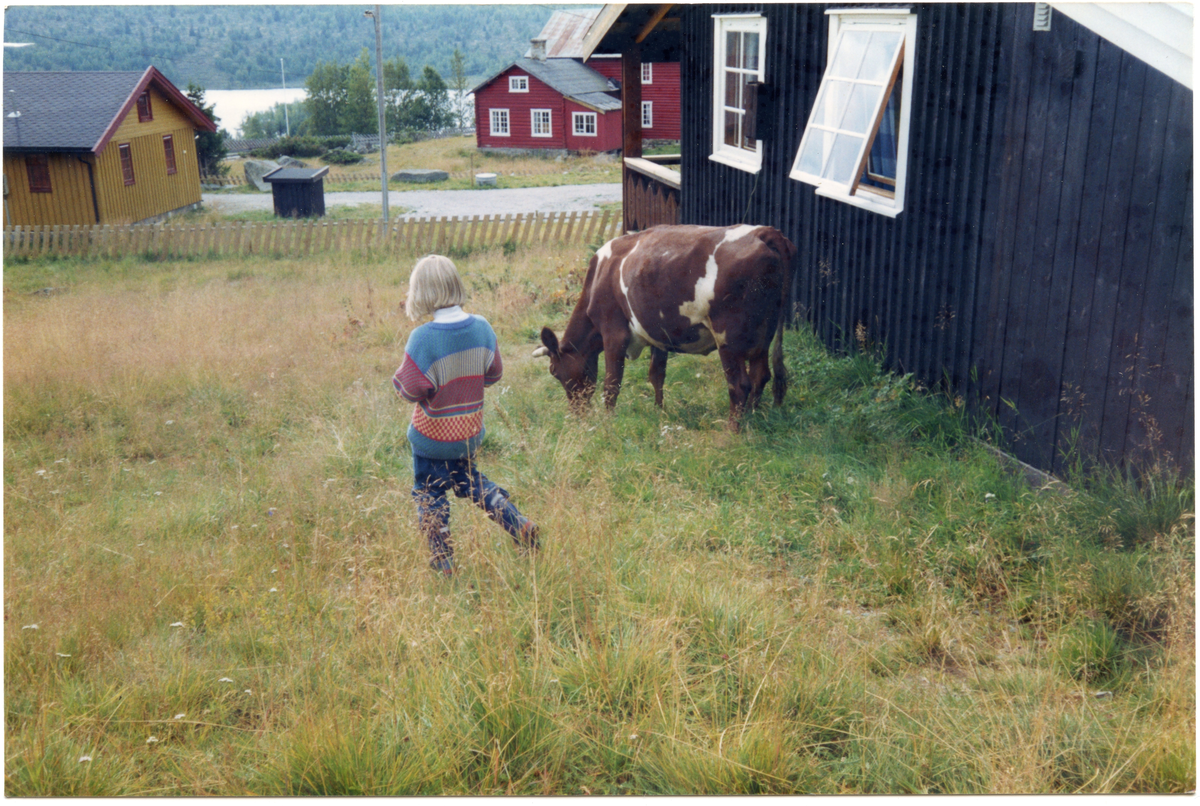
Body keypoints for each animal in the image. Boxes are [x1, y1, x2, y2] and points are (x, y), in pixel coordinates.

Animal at [535, 223, 796, 431]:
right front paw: (659, 411)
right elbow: (656, 375)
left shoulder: (613, 333)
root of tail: (765, 232)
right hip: (764, 333)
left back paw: (733, 430)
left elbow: (611, 384)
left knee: (740, 384)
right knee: (761, 375)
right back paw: (753, 418)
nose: (577, 413)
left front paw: (607, 422)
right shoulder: (657, 335)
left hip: (728, 337)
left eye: (554, 371)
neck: (599, 276)